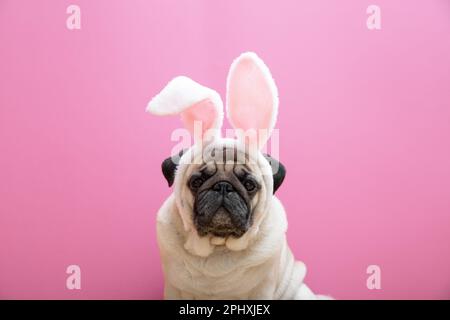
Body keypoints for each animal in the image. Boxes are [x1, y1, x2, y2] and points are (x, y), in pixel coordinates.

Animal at [148, 52, 326, 300]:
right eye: (197, 182)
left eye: (249, 185)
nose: (223, 186)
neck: (218, 246)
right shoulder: (175, 288)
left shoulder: (262, 289)